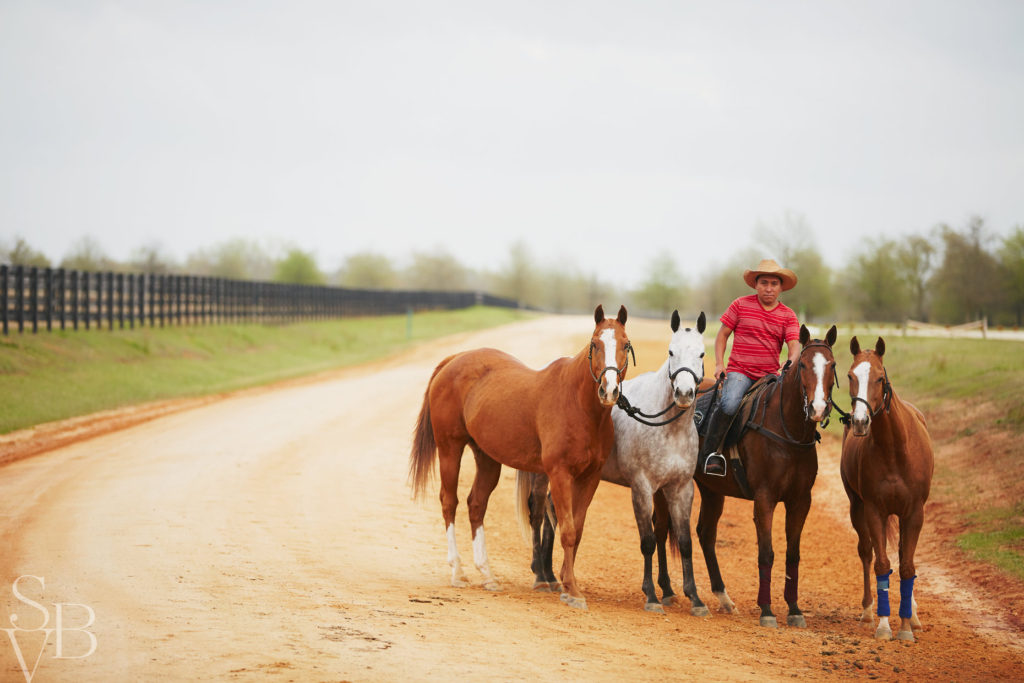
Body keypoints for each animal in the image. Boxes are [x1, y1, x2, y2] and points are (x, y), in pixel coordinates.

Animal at [407, 305, 630, 610]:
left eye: (626, 345)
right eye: (594, 344)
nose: (609, 391)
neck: (579, 405)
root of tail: (454, 360)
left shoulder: (590, 478)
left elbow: (578, 530)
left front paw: (565, 582)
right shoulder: (560, 474)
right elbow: (568, 530)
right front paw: (571, 590)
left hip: (487, 458)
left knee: (476, 505)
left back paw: (487, 575)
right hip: (449, 448)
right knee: (449, 502)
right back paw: (458, 571)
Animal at [692, 323, 835, 626]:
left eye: (833, 365)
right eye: (803, 365)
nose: (818, 408)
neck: (787, 431)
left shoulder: (800, 501)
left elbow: (793, 554)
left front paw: (794, 609)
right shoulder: (765, 498)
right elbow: (766, 553)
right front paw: (767, 609)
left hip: (712, 490)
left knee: (706, 534)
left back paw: (723, 597)